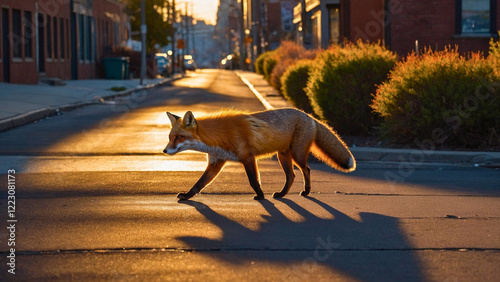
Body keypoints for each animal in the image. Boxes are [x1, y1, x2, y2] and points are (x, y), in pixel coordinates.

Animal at [165, 108, 356, 200]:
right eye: (170, 137)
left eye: (179, 137)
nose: (164, 151)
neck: (218, 137)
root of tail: (309, 115)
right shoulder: (216, 163)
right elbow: (198, 184)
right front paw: (187, 196)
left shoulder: (248, 157)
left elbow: (253, 181)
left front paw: (260, 196)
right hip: (283, 156)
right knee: (292, 176)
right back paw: (282, 194)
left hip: (297, 154)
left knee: (306, 170)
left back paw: (306, 192)